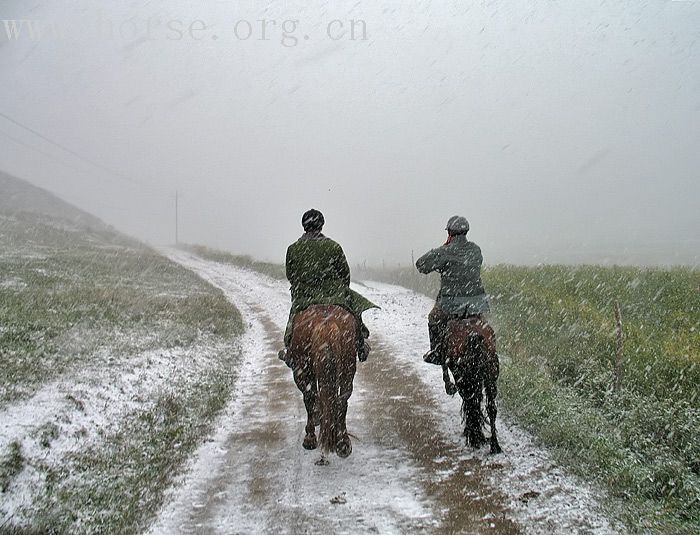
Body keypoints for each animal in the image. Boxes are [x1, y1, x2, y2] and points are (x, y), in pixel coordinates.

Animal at [288, 306, 358, 460]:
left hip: (304, 369)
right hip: (347, 367)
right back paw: (342, 443)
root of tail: (326, 325)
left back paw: (310, 438)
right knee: (341, 399)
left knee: (309, 397)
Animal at [446, 316, 500, 454]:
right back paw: (494, 445)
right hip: (489, 378)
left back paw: (475, 439)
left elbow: (470, 403)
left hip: (465, 379)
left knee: (471, 402)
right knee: (491, 407)